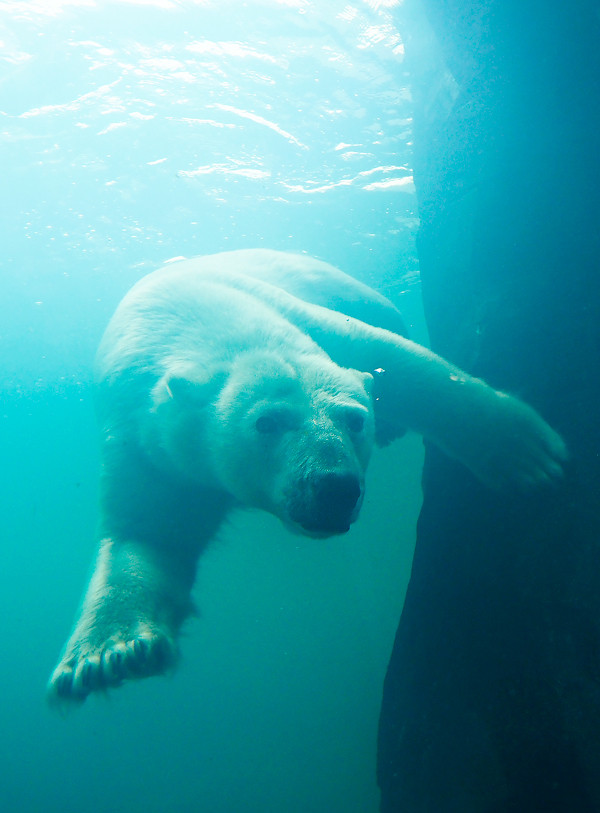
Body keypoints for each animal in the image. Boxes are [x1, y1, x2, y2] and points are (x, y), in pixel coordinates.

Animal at [47, 247, 568, 704]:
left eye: (354, 419)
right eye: (266, 422)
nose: (335, 487)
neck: (195, 323)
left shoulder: (312, 323)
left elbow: (406, 367)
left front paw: (529, 454)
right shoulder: (145, 440)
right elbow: (149, 531)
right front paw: (109, 655)